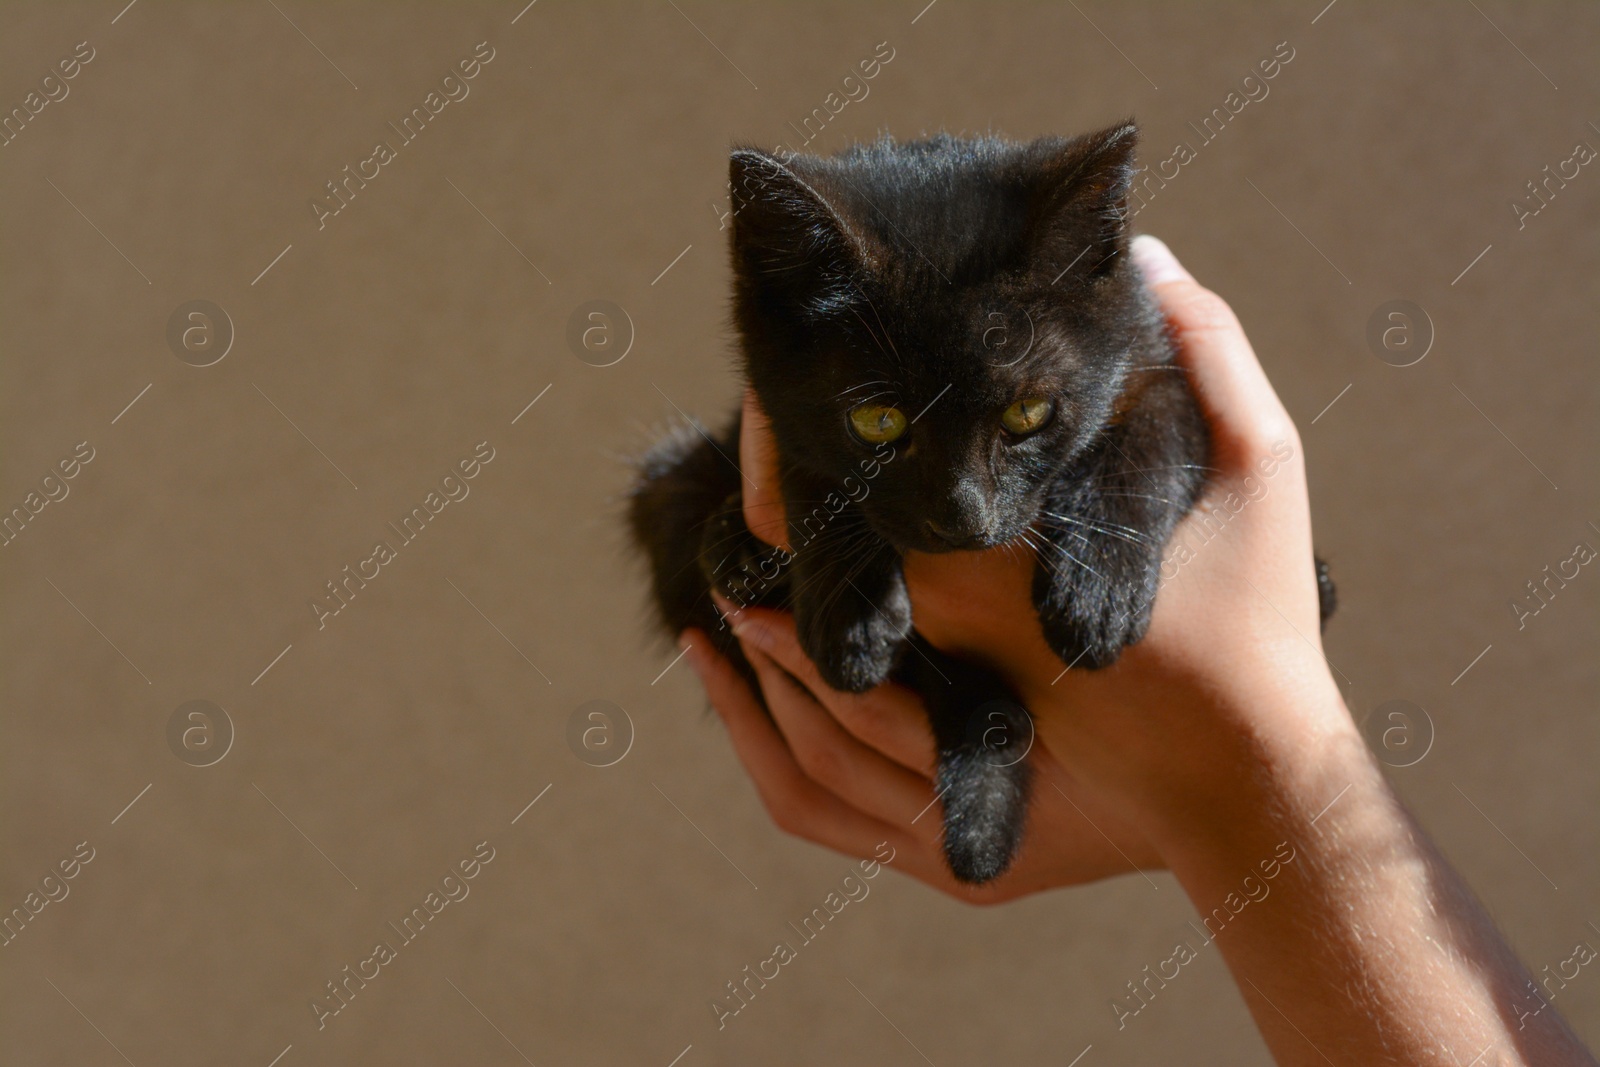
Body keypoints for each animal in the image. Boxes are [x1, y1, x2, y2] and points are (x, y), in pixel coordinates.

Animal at [630, 123, 1331, 883]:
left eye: (1027, 412)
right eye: (878, 422)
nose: (963, 517)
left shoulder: (1154, 360)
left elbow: (1148, 443)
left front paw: (1097, 593)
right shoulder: (771, 409)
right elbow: (811, 466)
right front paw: (850, 613)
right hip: (663, 484)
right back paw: (739, 554)